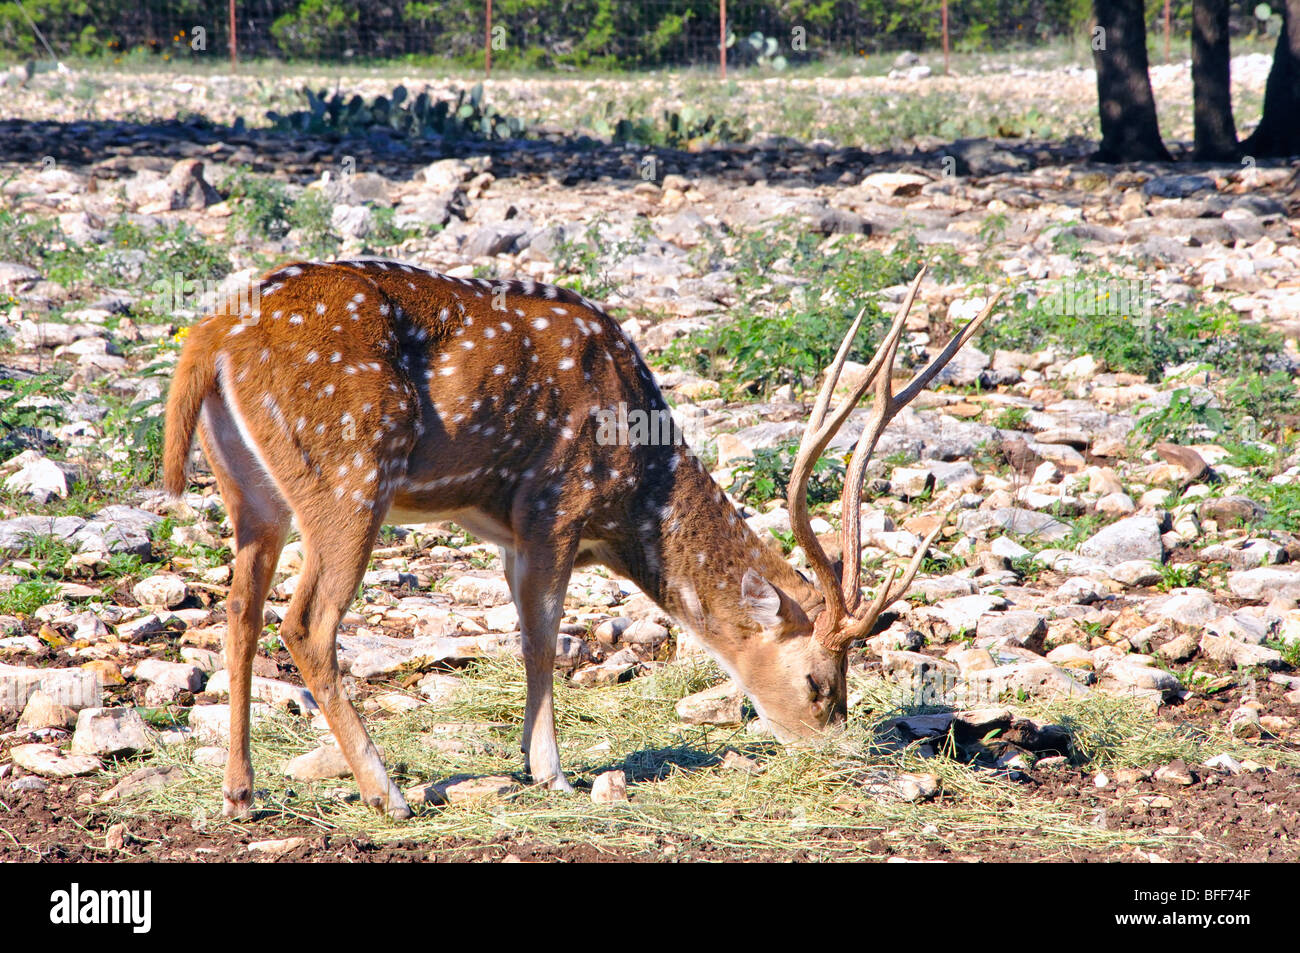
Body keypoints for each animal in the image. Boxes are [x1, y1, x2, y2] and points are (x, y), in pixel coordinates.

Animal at [162, 257, 997, 820]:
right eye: (821, 681)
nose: (837, 753)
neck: (635, 494)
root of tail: (210, 334)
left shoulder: (507, 530)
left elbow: (527, 636)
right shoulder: (554, 505)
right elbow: (542, 640)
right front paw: (552, 770)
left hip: (254, 492)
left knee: (237, 609)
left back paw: (240, 791)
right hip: (348, 471)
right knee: (305, 621)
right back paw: (388, 792)